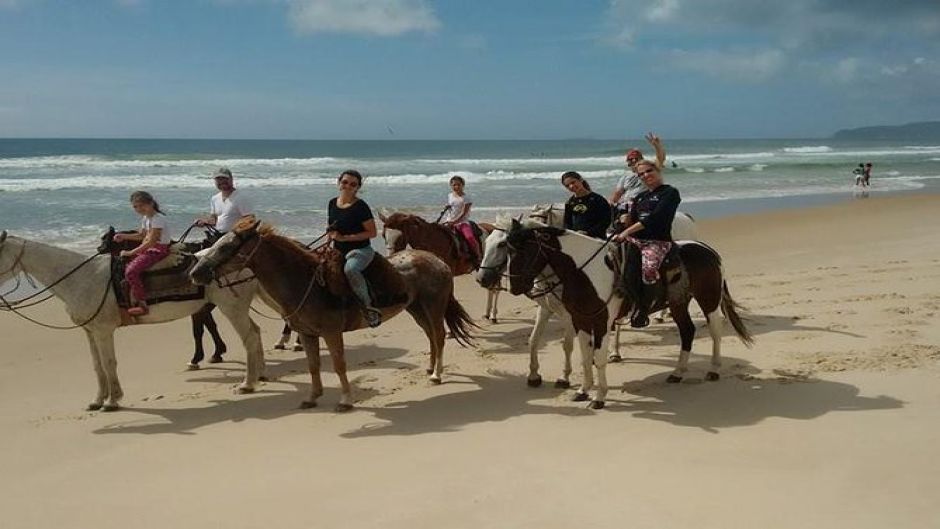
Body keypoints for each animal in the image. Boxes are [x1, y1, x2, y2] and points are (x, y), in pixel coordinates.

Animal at [96, 227, 229, 368]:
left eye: (105, 239)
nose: (98, 249)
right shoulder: (202, 307)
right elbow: (210, 326)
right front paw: (217, 352)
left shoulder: (200, 307)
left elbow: (199, 330)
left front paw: (197, 358)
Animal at [189, 217, 478, 410]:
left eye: (226, 247)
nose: (195, 273)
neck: (306, 282)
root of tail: (438, 261)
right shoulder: (307, 334)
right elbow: (313, 365)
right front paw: (312, 397)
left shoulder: (331, 332)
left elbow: (338, 365)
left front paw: (346, 400)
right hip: (416, 308)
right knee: (430, 336)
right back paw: (430, 368)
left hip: (433, 307)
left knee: (439, 336)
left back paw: (436, 375)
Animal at [504, 219, 752, 408]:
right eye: (508, 251)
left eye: (524, 251)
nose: (515, 287)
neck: (586, 272)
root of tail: (708, 249)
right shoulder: (581, 320)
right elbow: (585, 357)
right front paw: (583, 391)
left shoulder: (602, 321)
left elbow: (599, 358)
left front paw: (599, 397)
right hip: (678, 303)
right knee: (687, 331)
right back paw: (677, 373)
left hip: (709, 300)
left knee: (715, 332)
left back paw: (713, 370)